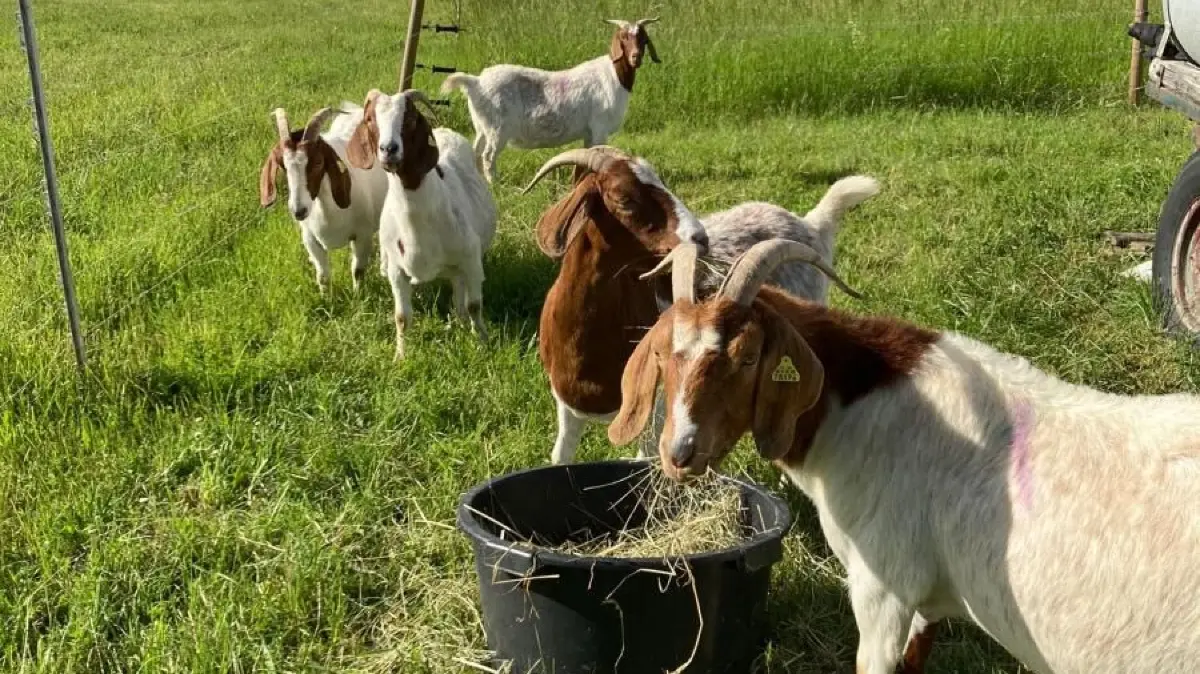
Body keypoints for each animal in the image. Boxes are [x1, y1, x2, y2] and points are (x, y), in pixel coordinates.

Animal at [259, 105, 389, 293]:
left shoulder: (362, 235)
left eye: (319, 163)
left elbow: (358, 270)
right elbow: (323, 276)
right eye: (283, 166)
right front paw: (326, 297)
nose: (299, 211)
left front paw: (358, 296)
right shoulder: (310, 239)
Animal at [345, 88, 497, 360]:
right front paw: (400, 356)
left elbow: (474, 306)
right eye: (370, 119)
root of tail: (445, 131)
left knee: (461, 294)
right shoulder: (396, 270)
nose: (389, 149)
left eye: (410, 119)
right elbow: (402, 317)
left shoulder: (469, 258)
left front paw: (482, 343)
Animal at [440, 18, 660, 184]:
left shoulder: (590, 132)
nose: (635, 58)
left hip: (482, 125)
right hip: (498, 128)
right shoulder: (600, 127)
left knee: (476, 151)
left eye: (643, 39)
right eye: (623, 38)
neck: (614, 75)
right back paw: (495, 183)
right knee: (488, 156)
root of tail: (475, 82)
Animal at [523, 146, 879, 465]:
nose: (700, 237)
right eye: (624, 198)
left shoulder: (658, 412)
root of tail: (809, 225)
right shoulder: (566, 403)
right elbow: (561, 457)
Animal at [611, 239, 1200, 674]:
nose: (680, 453)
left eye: (749, 356)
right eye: (662, 353)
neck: (856, 407)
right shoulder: (926, 605)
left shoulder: (884, 585)